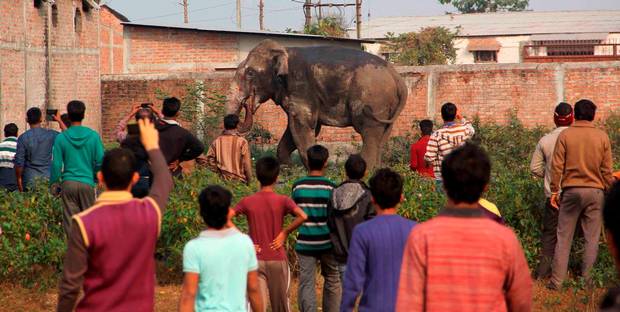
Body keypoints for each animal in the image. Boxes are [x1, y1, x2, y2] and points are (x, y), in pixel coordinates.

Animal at [225, 39, 410, 171]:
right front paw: (287, 169)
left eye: (250, 73)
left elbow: (302, 125)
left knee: (369, 132)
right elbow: (296, 129)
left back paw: (364, 172)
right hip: (387, 107)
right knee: (382, 135)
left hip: (372, 101)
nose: (247, 103)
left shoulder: (300, 87)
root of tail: (397, 77)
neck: (284, 50)